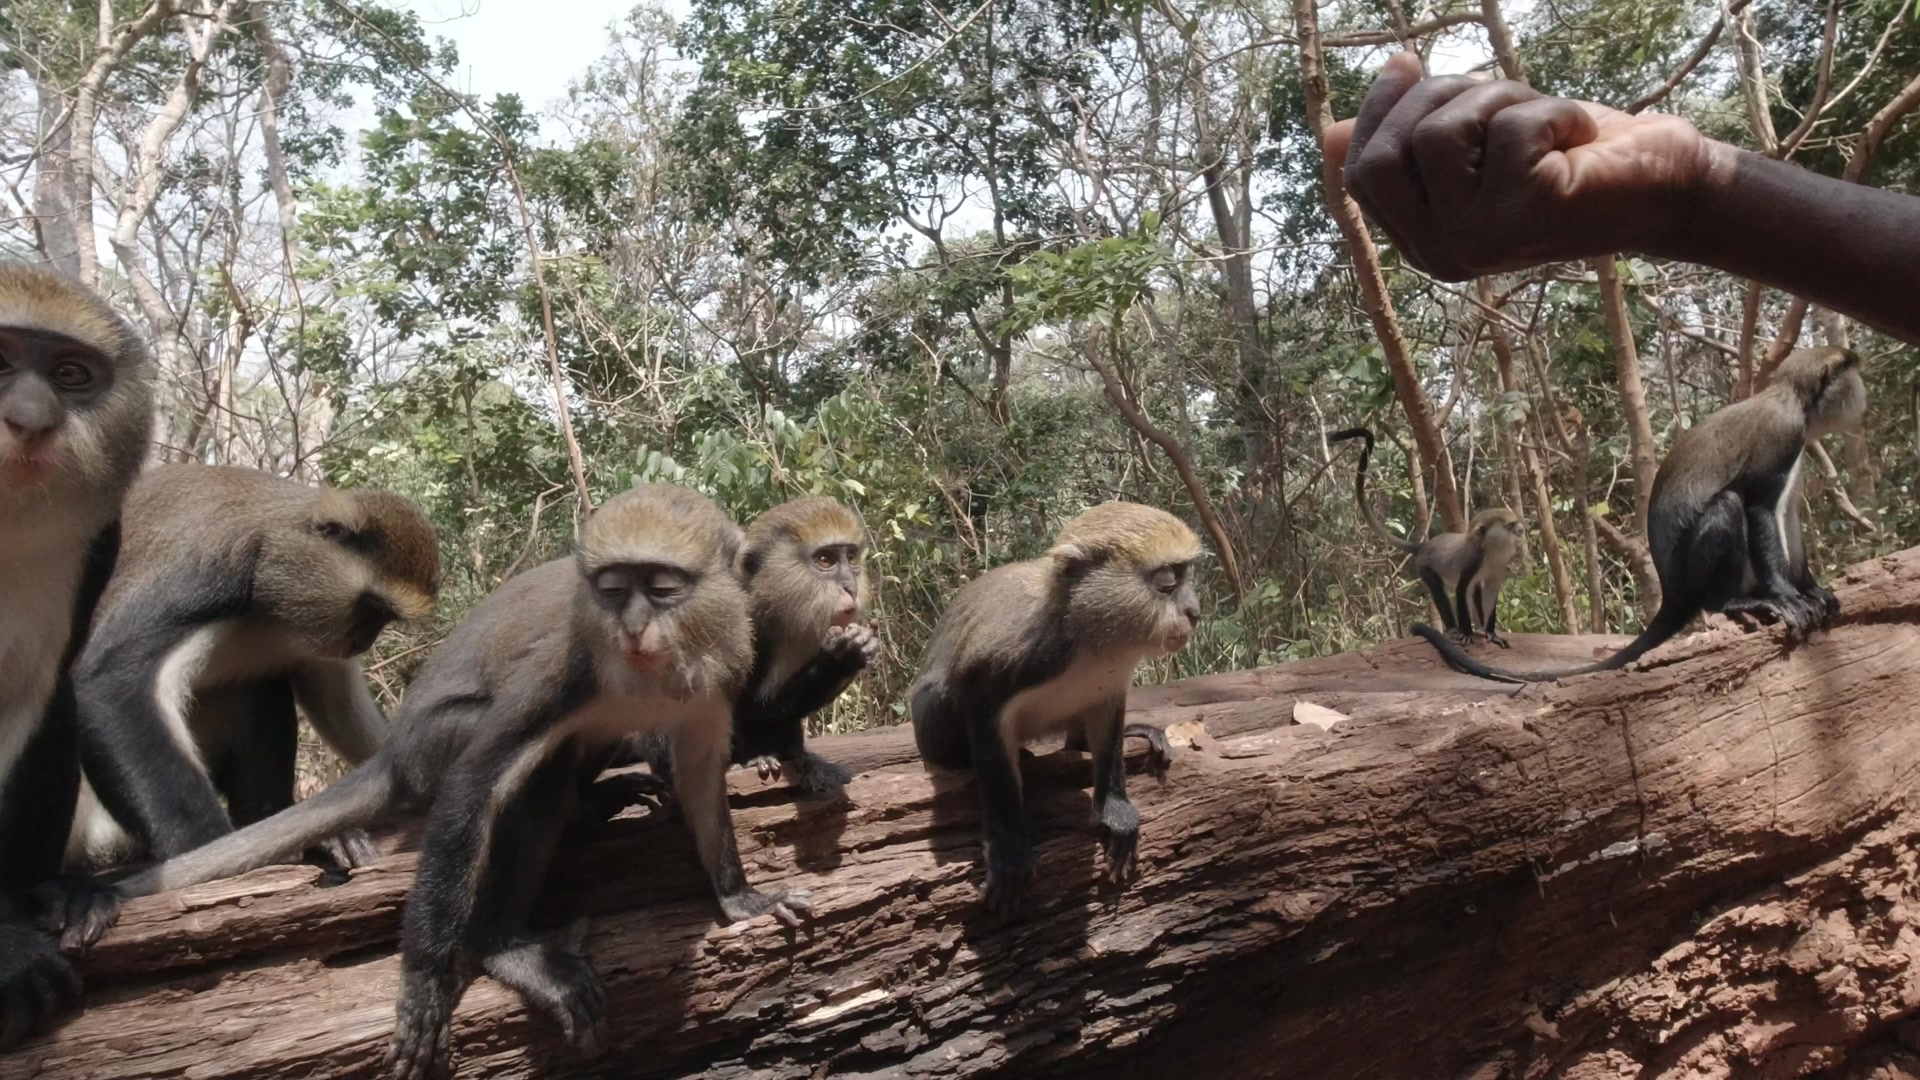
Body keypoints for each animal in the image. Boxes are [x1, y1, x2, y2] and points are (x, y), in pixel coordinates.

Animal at [60, 464, 440, 875]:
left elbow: (333, 698)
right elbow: (112, 681)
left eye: (382, 617)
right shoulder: (208, 574)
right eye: (372, 609)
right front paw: (207, 849)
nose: (363, 642)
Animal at [620, 495, 880, 799]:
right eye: (826, 560)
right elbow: (739, 707)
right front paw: (840, 659)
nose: (850, 586)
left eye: (851, 559)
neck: (769, 606)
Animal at [909, 501, 1201, 918]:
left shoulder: (1112, 684)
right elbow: (985, 726)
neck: (1090, 639)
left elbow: (1108, 734)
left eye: (1187, 575)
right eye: (1166, 582)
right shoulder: (1013, 665)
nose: (1194, 612)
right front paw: (1009, 849)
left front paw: (1115, 809)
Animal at [1329, 427, 1523, 647]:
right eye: (1510, 526)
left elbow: (1490, 592)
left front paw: (1491, 632)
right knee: (1439, 590)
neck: (1489, 551)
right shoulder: (1473, 561)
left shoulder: (1498, 567)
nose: (1521, 530)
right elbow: (1461, 590)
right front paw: (1466, 632)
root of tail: (1423, 547)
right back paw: (1454, 629)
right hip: (1423, 566)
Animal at [1417, 346, 1867, 683]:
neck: (1793, 397)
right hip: (1696, 575)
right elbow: (1758, 509)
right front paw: (1787, 596)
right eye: (1851, 373)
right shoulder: (1781, 441)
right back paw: (1732, 600)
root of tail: (1674, 594)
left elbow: (1787, 516)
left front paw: (1810, 587)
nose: (1865, 392)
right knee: (1728, 504)